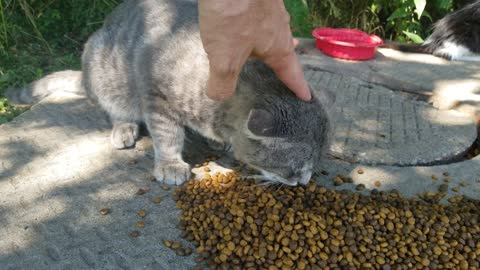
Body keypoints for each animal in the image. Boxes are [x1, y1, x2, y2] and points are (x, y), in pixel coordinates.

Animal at [5, 0, 334, 186]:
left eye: (315, 166)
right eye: (294, 169)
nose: (303, 182)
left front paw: (222, 142)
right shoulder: (156, 97)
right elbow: (167, 135)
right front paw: (170, 163)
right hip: (105, 71)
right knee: (115, 110)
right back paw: (123, 127)